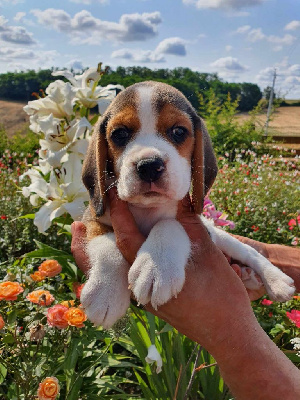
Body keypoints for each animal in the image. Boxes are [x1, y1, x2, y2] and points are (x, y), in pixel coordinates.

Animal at [80, 80, 296, 328]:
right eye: (120, 134)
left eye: (178, 131)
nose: (149, 166)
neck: (147, 209)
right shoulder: (92, 219)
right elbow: (106, 245)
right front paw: (106, 292)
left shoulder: (193, 222)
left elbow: (168, 224)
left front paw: (156, 266)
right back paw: (248, 277)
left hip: (221, 237)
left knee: (250, 251)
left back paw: (276, 279)